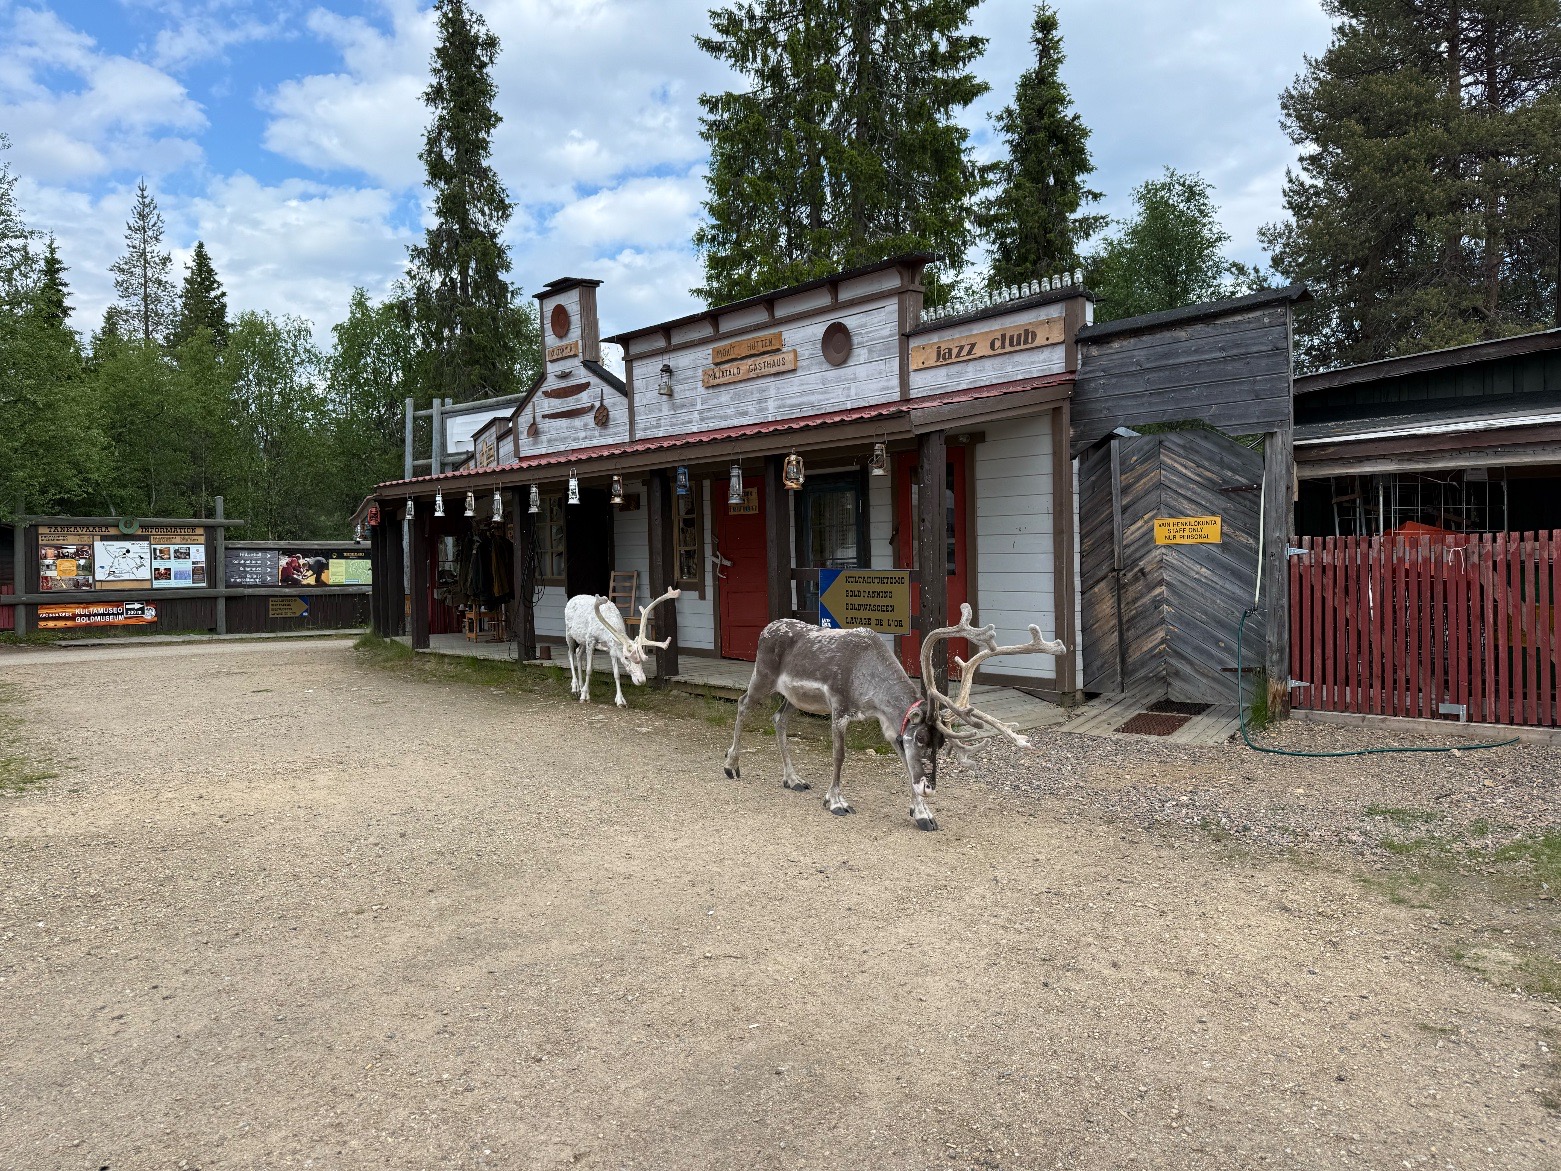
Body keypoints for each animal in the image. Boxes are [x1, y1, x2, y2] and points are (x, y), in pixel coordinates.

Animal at [722, 604, 1066, 830]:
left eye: (941, 744)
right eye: (922, 737)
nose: (930, 787)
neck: (871, 688)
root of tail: (766, 629)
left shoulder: (890, 725)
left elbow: (904, 764)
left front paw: (923, 813)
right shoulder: (839, 708)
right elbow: (839, 756)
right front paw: (836, 801)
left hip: (795, 698)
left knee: (778, 719)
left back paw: (793, 779)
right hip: (763, 677)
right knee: (742, 704)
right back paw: (731, 765)